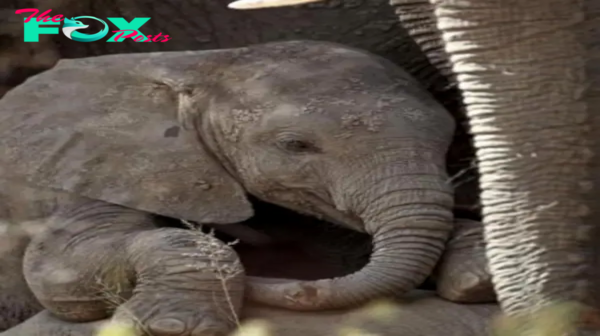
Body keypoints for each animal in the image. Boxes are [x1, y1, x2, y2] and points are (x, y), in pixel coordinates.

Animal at [0, 40, 474, 336]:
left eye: (448, 136)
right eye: (295, 145)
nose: (295, 290)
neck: (199, 67)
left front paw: (472, 278)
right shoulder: (83, 162)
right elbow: (58, 267)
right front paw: (172, 329)